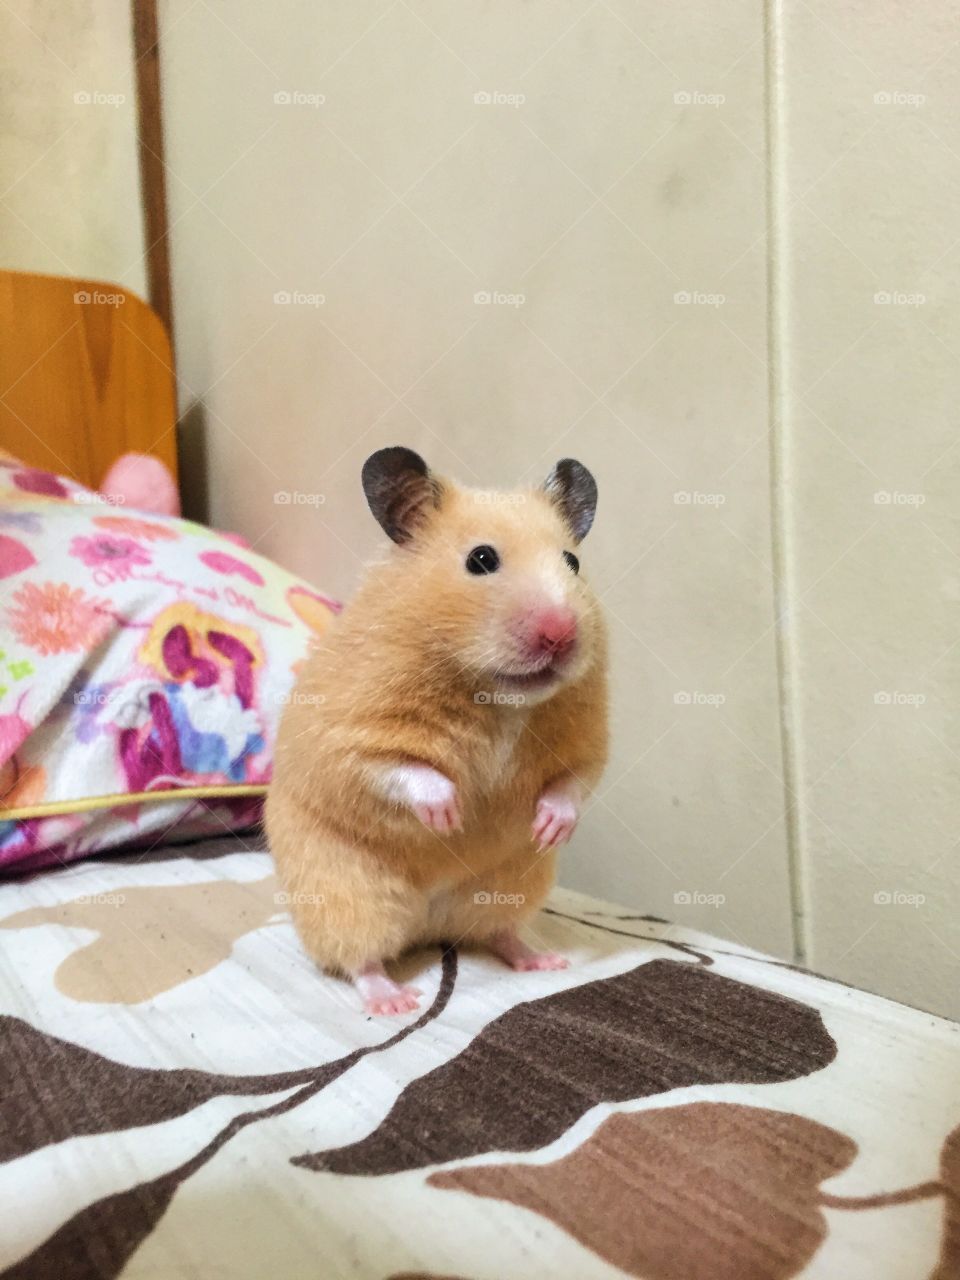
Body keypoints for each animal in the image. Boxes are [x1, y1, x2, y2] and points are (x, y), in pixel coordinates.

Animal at [266, 446, 608, 1015]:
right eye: (481, 560)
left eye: (573, 563)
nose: (561, 634)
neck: (496, 696)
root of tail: (428, 927)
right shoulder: (348, 738)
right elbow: (401, 769)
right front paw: (451, 817)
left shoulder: (588, 744)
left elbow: (573, 783)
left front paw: (548, 827)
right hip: (346, 894)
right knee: (361, 959)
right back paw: (394, 1001)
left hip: (514, 885)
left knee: (497, 932)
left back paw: (541, 961)